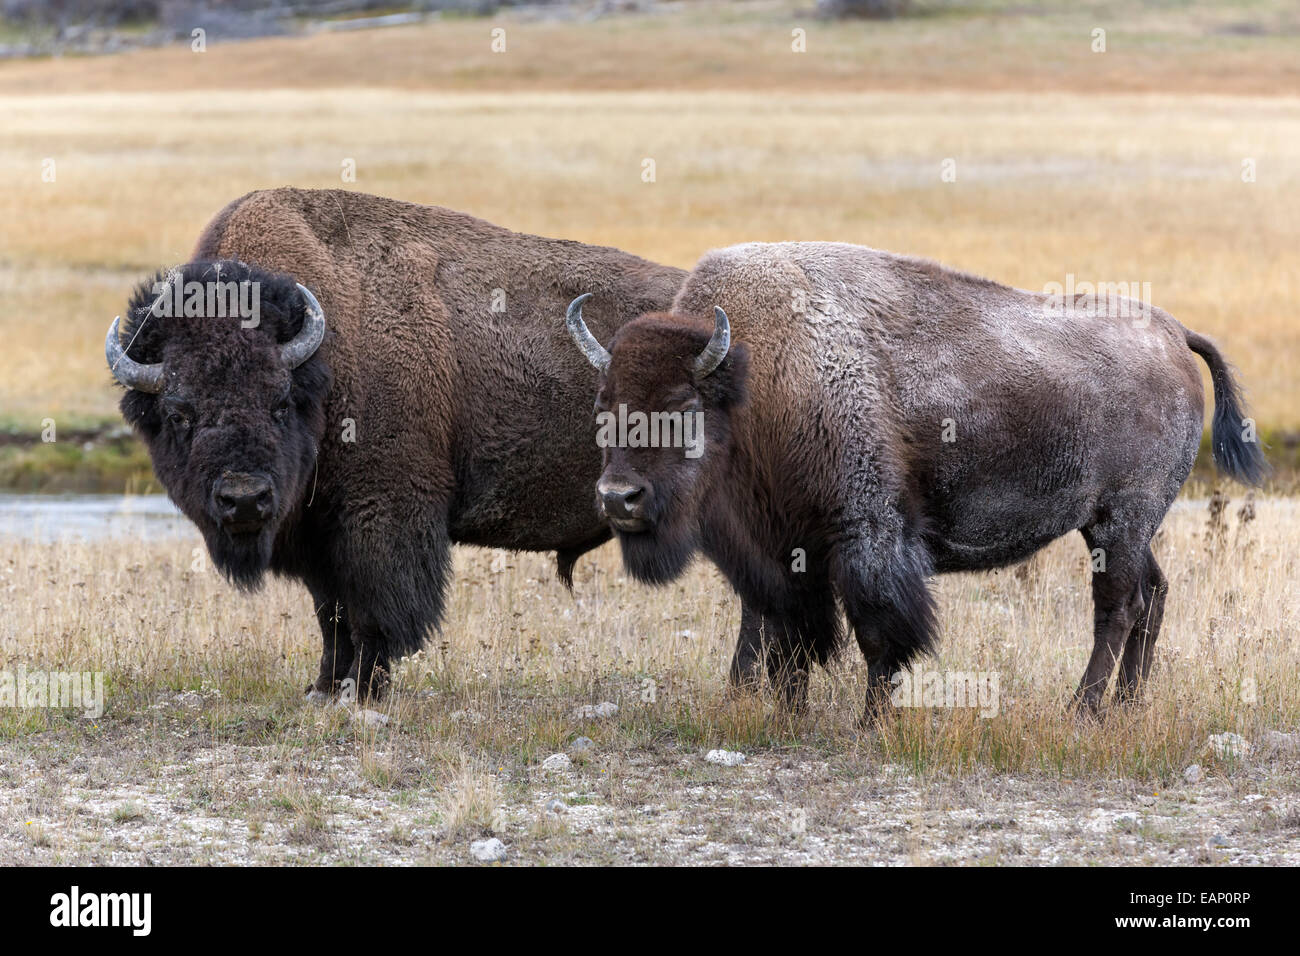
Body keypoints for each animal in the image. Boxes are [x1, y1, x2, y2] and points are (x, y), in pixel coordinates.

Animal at [104, 188, 780, 702]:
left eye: (279, 401)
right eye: (180, 412)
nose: (244, 500)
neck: (326, 359)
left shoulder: (383, 519)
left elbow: (375, 615)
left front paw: (364, 692)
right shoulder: (320, 537)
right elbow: (330, 616)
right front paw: (323, 689)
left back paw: (747, 688)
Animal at [564, 240, 1263, 717]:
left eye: (684, 406)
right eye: (604, 404)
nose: (618, 498)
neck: (757, 381)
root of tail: (1174, 333)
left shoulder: (867, 537)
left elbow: (876, 633)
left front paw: (870, 721)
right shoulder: (777, 550)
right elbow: (774, 629)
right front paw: (776, 708)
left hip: (1120, 522)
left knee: (1118, 606)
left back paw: (1082, 710)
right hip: (1119, 529)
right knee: (1154, 594)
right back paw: (1125, 706)